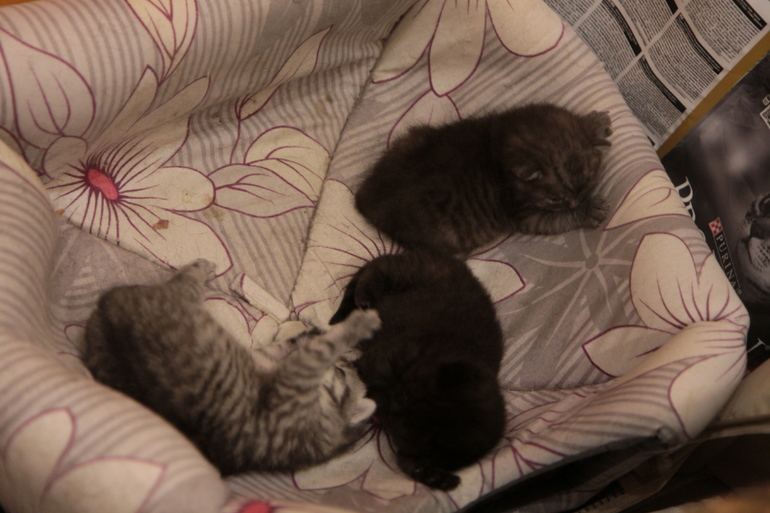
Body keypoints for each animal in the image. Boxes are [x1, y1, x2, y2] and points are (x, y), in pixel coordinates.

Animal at [82, 259, 379, 475]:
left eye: (340, 373)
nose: (343, 363)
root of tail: (102, 308)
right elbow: (289, 346)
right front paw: (310, 332)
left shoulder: (292, 382)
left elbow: (316, 350)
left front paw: (352, 327)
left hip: (178, 297)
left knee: (185, 281)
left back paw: (200, 267)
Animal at [329, 251, 506, 491]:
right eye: (403, 395)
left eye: (397, 428)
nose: (378, 414)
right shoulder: (388, 356)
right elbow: (367, 369)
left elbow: (409, 464)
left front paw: (438, 478)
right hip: (417, 270)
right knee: (378, 268)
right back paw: (364, 297)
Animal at [355, 103, 613, 256]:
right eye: (555, 200)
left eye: (584, 189)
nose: (575, 203)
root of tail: (366, 202)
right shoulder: (525, 215)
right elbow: (558, 220)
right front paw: (588, 211)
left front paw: (595, 122)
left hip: (411, 138)